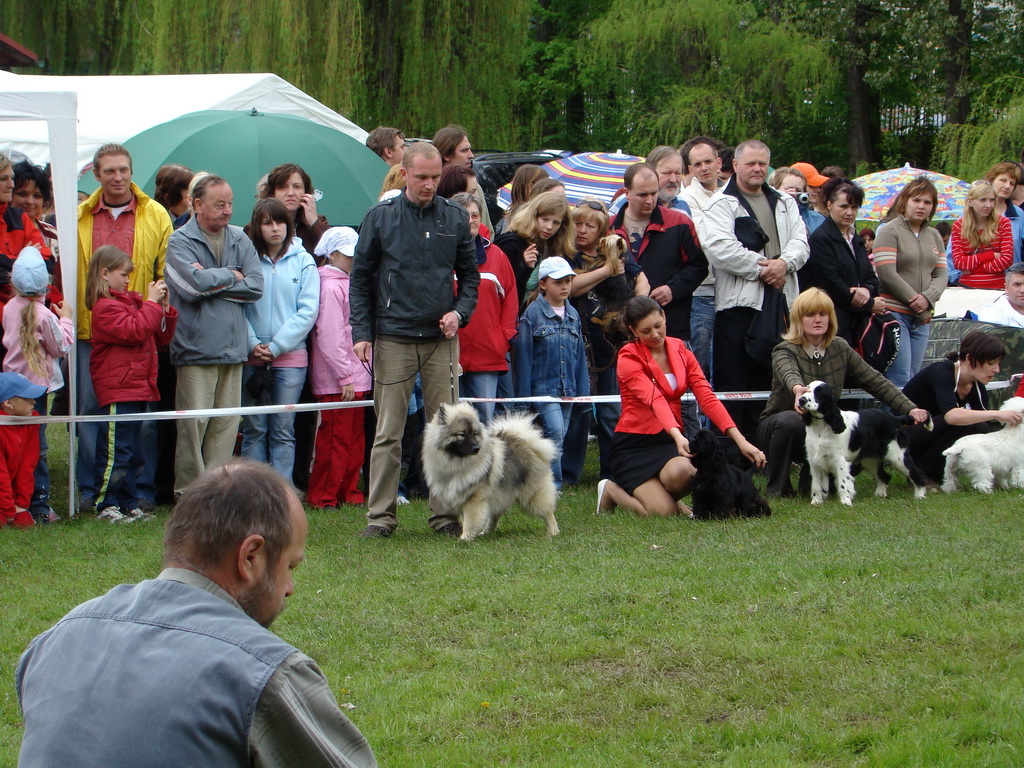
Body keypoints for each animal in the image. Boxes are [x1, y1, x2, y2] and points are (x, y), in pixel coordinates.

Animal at [421, 403, 561, 540]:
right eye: (462, 434)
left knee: (548, 513)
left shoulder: (474, 499)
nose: (476, 448)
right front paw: (467, 535)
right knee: (495, 516)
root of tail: (529, 445)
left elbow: (470, 520)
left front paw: (465, 537)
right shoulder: (461, 498)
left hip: (532, 494)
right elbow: (467, 519)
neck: (458, 463)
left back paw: (553, 532)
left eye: (475, 434)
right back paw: (487, 532)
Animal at [794, 382, 933, 507]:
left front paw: (845, 502)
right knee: (884, 476)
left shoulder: (840, 460)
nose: (801, 400)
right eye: (806, 389)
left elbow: (843, 483)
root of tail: (895, 418)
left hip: (897, 456)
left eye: (819, 392)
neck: (821, 426)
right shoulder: (814, 460)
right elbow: (816, 485)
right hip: (870, 460)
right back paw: (879, 494)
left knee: (915, 473)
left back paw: (919, 495)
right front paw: (816, 501)